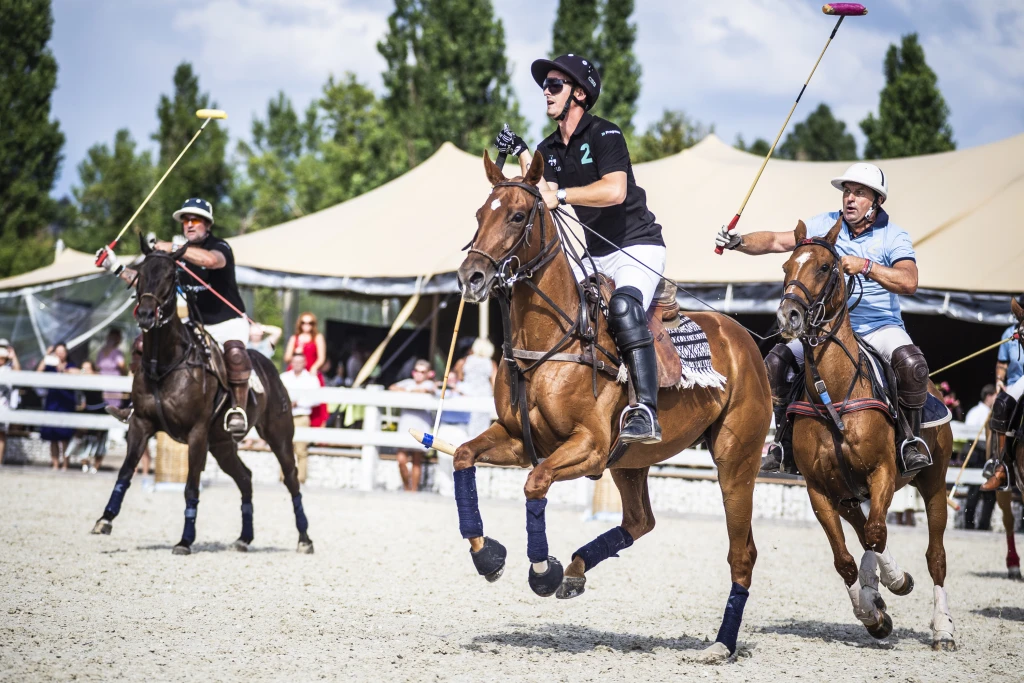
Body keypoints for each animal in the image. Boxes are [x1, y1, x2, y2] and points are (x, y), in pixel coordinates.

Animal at [90, 239, 313, 557]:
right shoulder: (141, 424)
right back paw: (244, 537)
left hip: (279, 434)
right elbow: (125, 472)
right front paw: (105, 519)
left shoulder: (196, 432)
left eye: (171, 275)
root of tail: (270, 365)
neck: (166, 364)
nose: (145, 315)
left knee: (291, 477)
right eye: (141, 273)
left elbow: (191, 487)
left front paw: (185, 540)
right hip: (221, 444)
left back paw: (304, 538)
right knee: (245, 477)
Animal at [448, 150, 770, 663]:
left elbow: (536, 483)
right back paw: (577, 570)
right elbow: (462, 456)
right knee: (640, 520)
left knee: (742, 551)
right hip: (631, 461)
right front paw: (488, 556)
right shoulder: (520, 439)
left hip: (734, 459)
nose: (471, 278)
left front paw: (542, 570)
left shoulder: (590, 447)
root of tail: (750, 341)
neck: (548, 342)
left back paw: (722, 642)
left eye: (517, 215)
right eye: (480, 215)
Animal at [774, 220, 958, 651]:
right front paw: (872, 612)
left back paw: (942, 628)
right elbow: (846, 558)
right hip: (848, 492)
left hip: (933, 479)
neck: (835, 393)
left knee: (934, 554)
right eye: (787, 265)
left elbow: (875, 534)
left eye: (826, 267)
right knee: (866, 533)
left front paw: (887, 588)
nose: (789, 315)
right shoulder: (820, 489)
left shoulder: (883, 472)